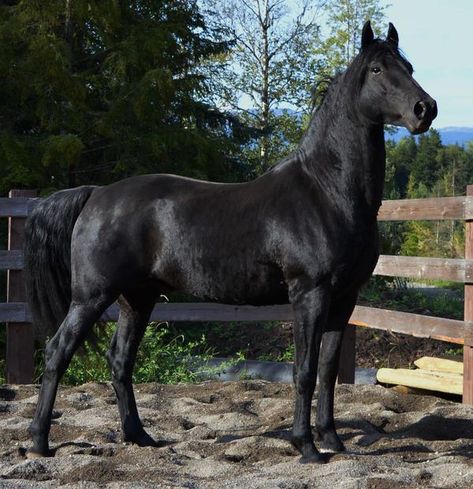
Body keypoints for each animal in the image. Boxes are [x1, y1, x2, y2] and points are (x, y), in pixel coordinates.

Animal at [22, 21, 436, 462]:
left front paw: (332, 441)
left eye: (409, 67)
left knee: (120, 361)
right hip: (91, 297)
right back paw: (40, 441)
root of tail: (96, 193)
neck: (327, 191)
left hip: (137, 298)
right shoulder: (310, 294)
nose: (425, 109)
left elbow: (327, 371)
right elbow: (304, 371)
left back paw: (140, 437)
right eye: (376, 69)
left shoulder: (344, 299)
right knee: (58, 351)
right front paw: (306, 446)